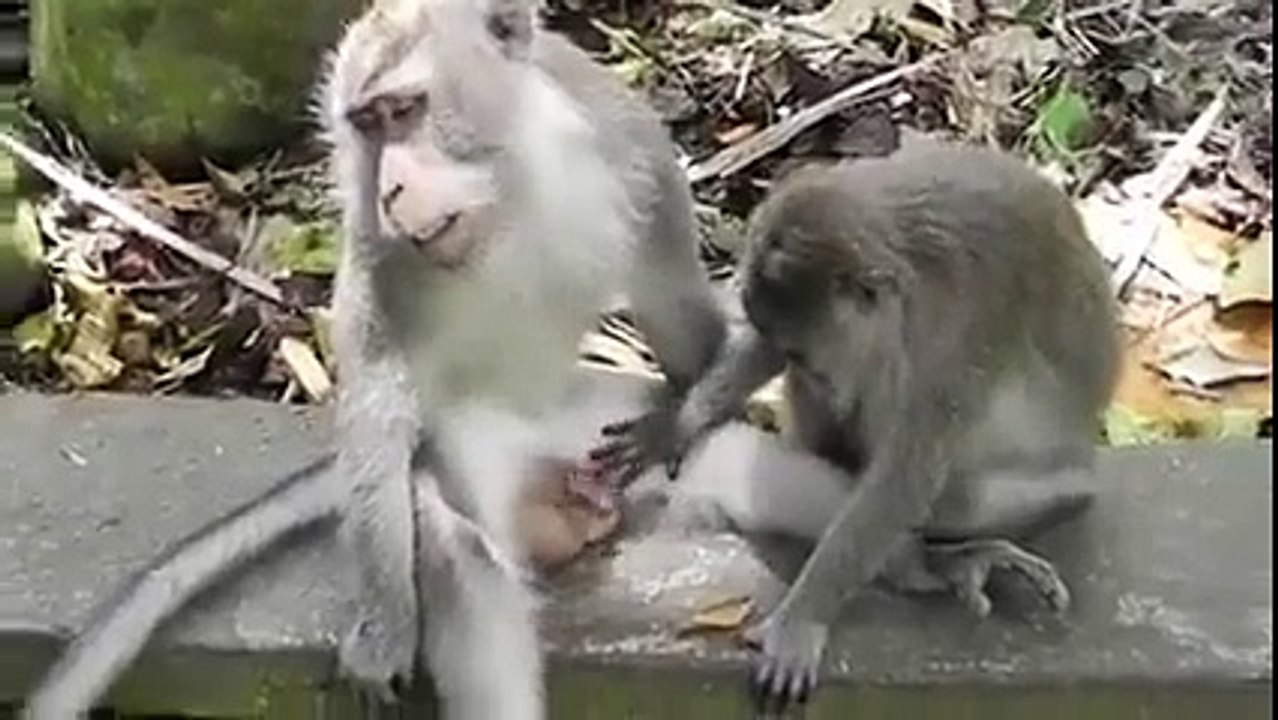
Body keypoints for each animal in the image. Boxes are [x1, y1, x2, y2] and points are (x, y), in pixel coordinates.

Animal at [592, 141, 1121, 712]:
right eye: (790, 350)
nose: (813, 371)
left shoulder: (948, 342)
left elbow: (904, 478)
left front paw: (803, 618)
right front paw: (677, 424)